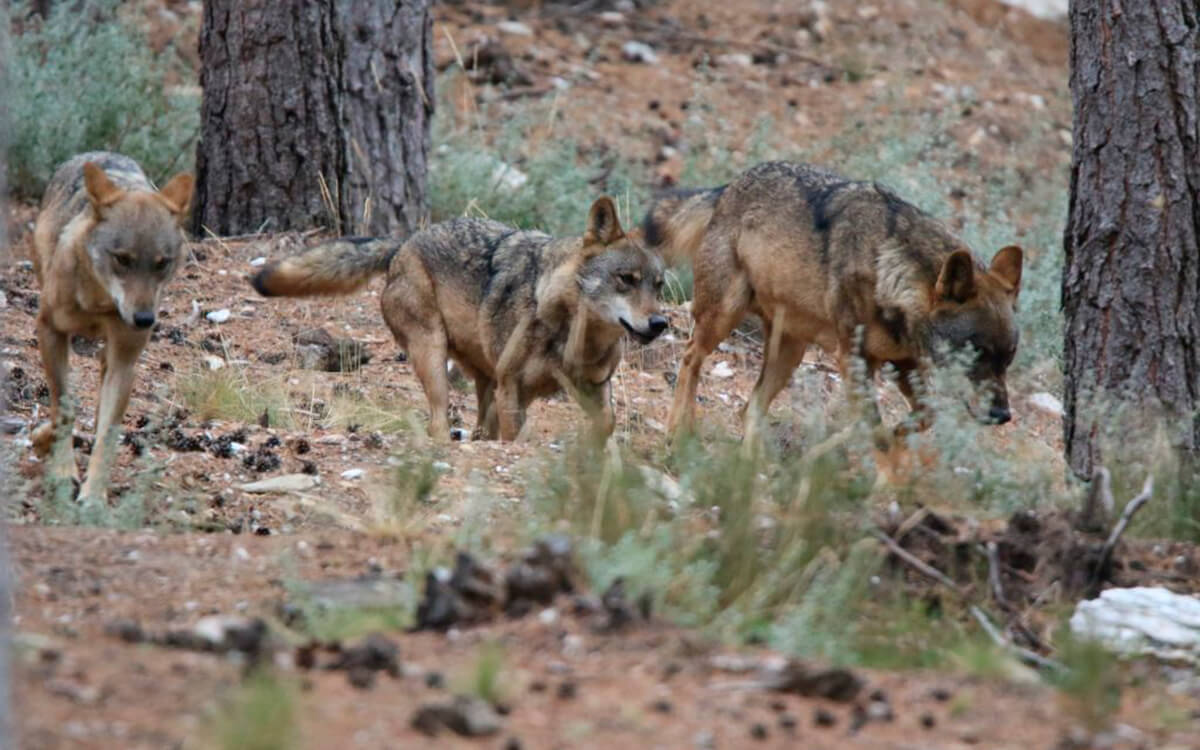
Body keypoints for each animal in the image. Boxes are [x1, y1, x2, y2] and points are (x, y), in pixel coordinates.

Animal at [31, 152, 194, 505]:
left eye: (162, 263)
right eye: (122, 259)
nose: (144, 319)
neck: (99, 303)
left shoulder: (125, 360)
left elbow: (107, 434)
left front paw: (93, 496)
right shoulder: (49, 330)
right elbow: (63, 407)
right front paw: (62, 473)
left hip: (114, 359)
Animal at [251, 197, 667, 440]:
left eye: (659, 286)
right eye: (626, 279)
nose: (660, 324)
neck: (575, 337)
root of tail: (405, 242)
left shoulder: (595, 389)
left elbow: (607, 429)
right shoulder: (513, 388)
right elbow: (516, 439)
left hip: (485, 382)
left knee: (479, 427)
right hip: (435, 363)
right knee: (439, 423)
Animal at [642, 161, 1023, 441]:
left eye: (1008, 358)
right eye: (975, 353)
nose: (1003, 415)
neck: (889, 270)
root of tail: (729, 186)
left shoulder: (903, 365)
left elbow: (923, 417)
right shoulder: (855, 362)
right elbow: (877, 435)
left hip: (789, 353)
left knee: (748, 410)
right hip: (723, 318)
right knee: (691, 357)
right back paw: (678, 431)